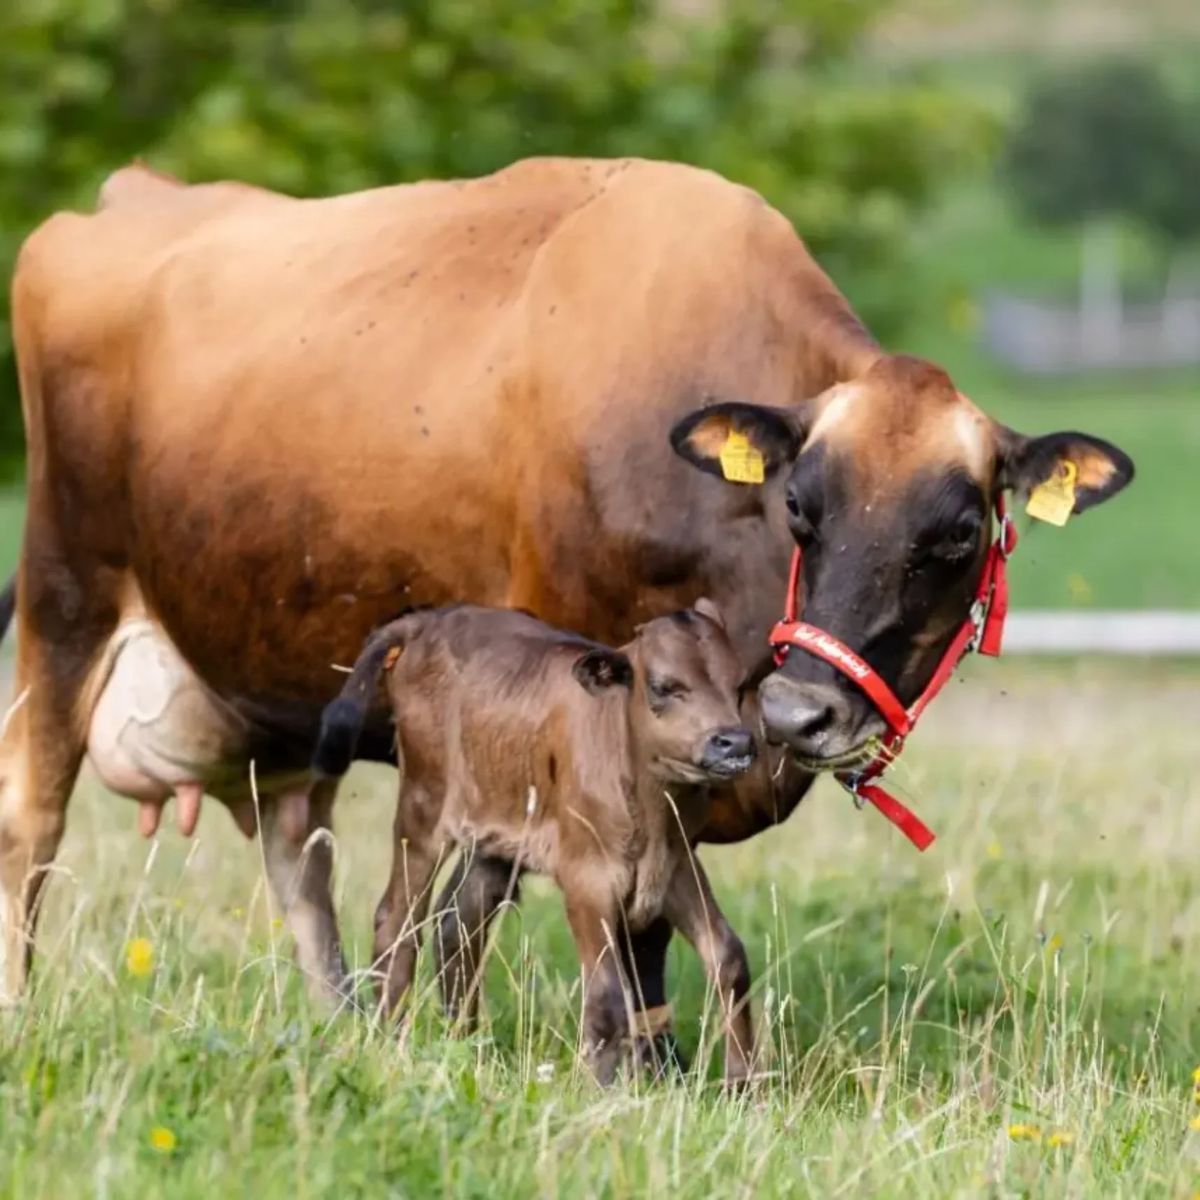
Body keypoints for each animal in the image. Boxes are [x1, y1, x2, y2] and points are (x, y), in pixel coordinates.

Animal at [311, 601, 756, 1083]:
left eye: (739, 684)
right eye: (663, 686)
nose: (734, 742)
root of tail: (427, 619)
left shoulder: (676, 863)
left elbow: (728, 957)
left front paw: (744, 1084)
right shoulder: (587, 876)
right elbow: (606, 995)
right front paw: (602, 1087)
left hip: (493, 839)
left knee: (458, 923)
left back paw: (467, 1045)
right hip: (423, 808)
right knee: (397, 920)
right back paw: (391, 1039)